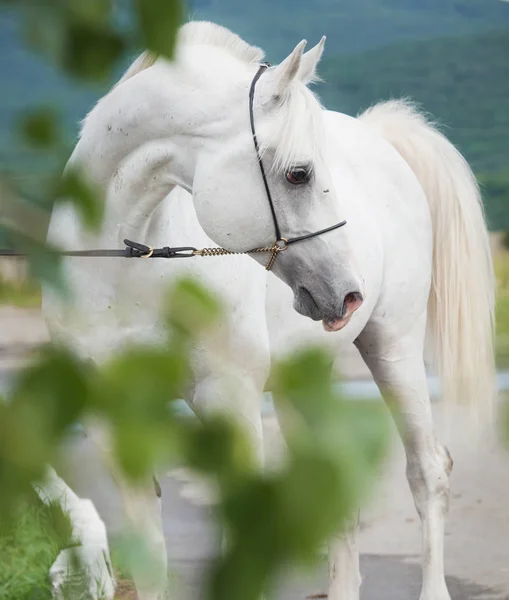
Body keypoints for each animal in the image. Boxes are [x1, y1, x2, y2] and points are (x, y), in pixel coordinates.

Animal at [38, 18, 492, 600]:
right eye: (299, 173)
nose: (348, 294)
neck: (129, 263)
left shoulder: (228, 399)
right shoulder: (114, 417)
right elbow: (150, 552)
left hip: (395, 350)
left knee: (428, 470)